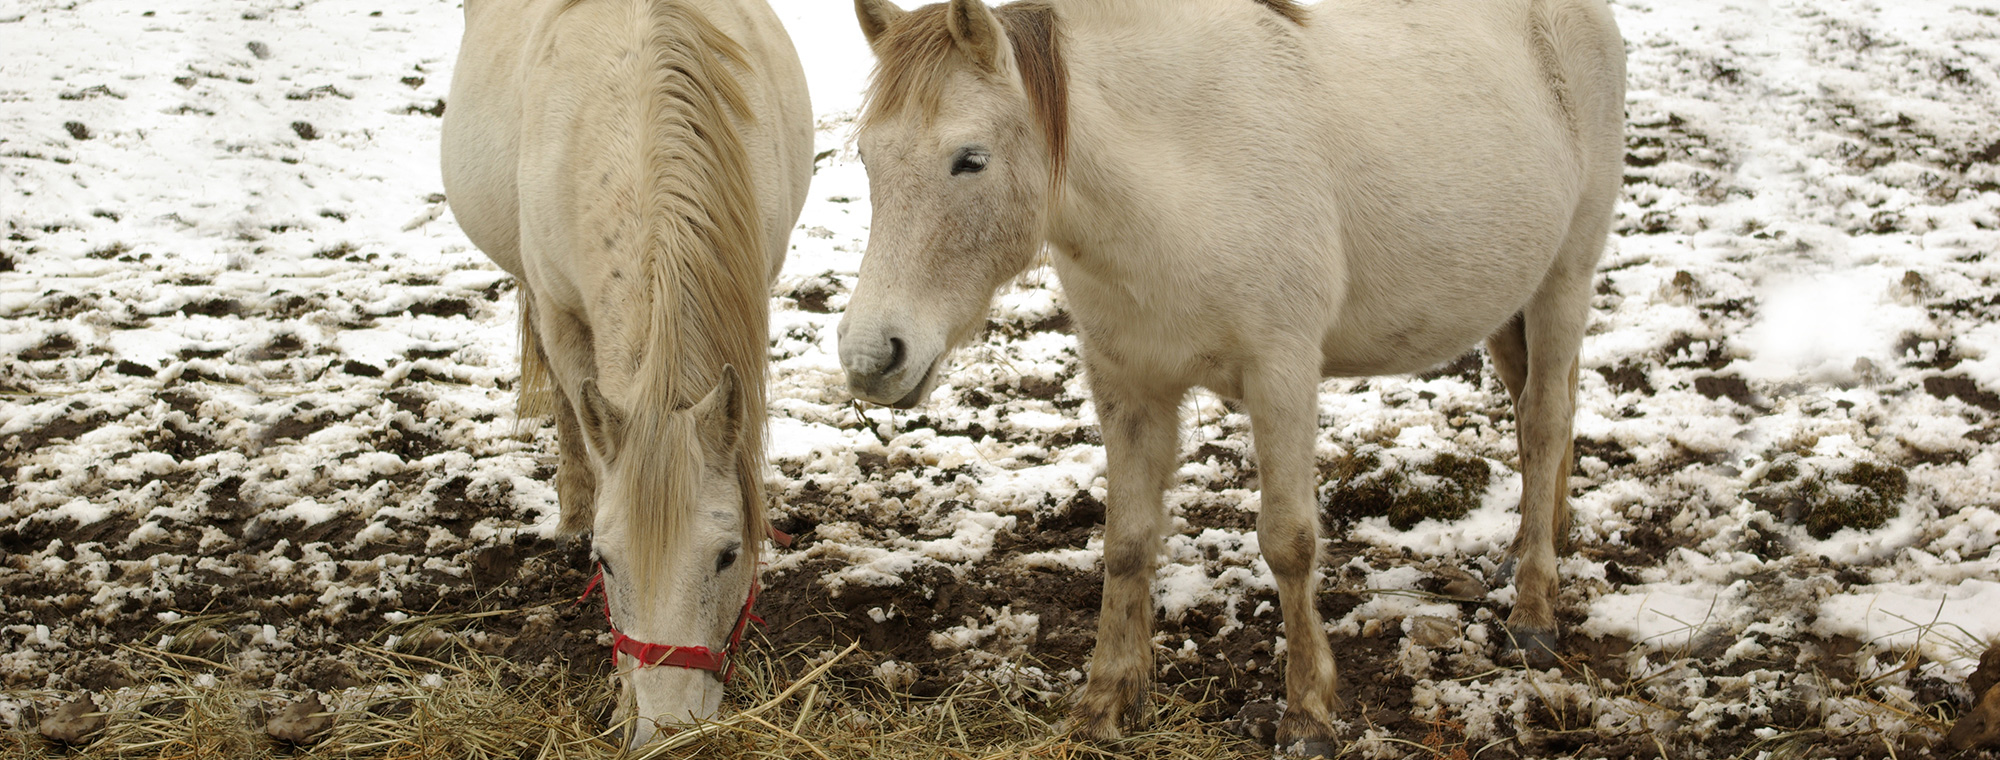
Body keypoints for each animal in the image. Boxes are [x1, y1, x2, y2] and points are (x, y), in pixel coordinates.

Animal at [844, 0, 1624, 752]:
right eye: (866, 158)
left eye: (969, 160)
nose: (870, 358)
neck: (1182, 175)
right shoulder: (1128, 382)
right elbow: (1127, 543)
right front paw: (1104, 703)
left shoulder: (1282, 372)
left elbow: (1289, 541)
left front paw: (1307, 716)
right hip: (1510, 298)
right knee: (1537, 409)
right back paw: (1529, 548)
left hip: (1564, 276)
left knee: (1543, 420)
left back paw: (1533, 612)